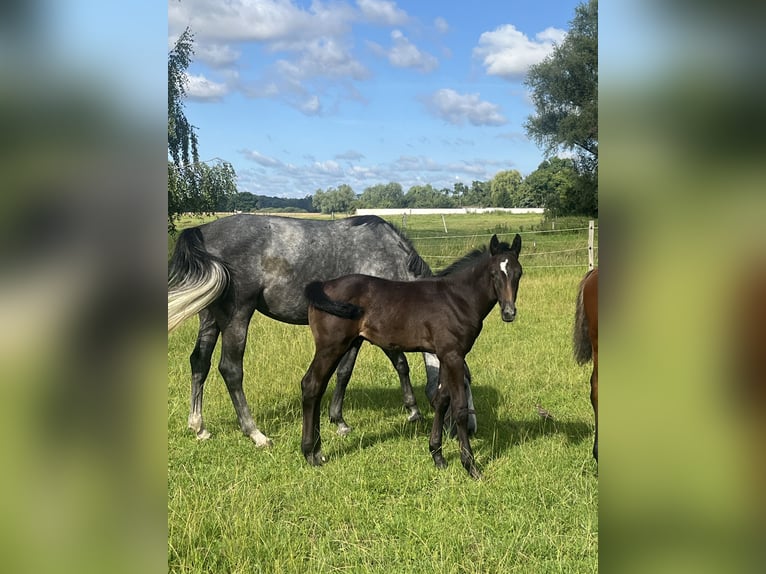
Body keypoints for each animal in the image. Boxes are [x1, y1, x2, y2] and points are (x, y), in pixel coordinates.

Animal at [300, 234, 520, 482]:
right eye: (494, 274)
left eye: (518, 273)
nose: (509, 313)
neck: (457, 299)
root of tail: (322, 286)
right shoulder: (454, 355)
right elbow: (459, 408)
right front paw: (471, 466)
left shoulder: (445, 354)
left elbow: (441, 399)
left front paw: (438, 457)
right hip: (331, 346)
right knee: (311, 385)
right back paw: (311, 454)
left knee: (318, 388)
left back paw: (317, 450)